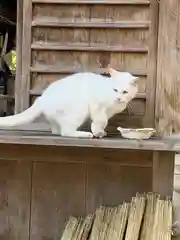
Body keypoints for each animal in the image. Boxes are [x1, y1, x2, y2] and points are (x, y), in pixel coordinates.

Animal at [0, 68, 139, 138]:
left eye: (125, 92)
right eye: (115, 90)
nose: (118, 98)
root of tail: (42, 98)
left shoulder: (107, 112)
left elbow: (102, 122)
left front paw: (101, 132)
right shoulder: (97, 106)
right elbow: (101, 120)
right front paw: (97, 132)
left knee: (57, 130)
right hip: (80, 108)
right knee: (65, 131)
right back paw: (85, 134)